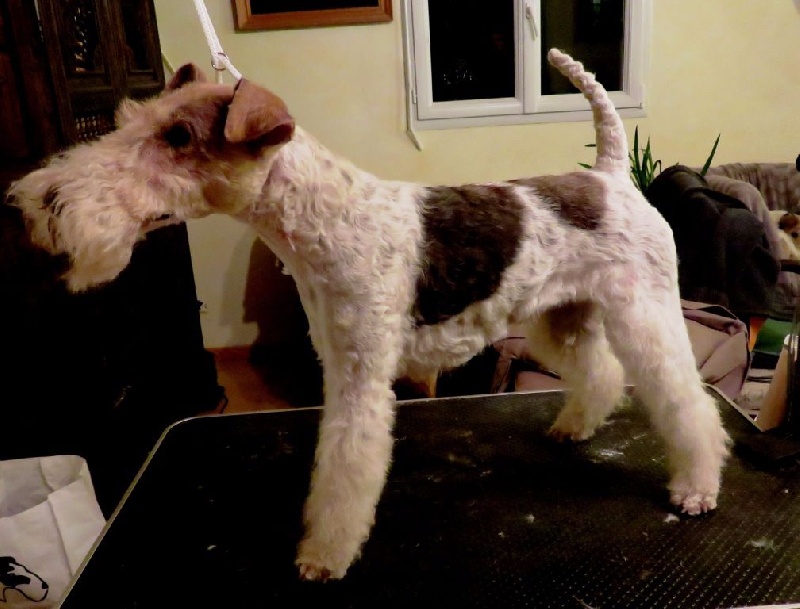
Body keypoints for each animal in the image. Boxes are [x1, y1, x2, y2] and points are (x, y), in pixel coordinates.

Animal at [7, 49, 730, 581]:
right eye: (133, 116)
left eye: (179, 134)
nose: (39, 203)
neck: (321, 220)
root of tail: (610, 175)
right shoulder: (338, 361)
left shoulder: (360, 375)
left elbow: (344, 470)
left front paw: (321, 558)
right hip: (566, 314)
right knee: (601, 373)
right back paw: (574, 427)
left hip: (645, 311)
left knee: (687, 401)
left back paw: (695, 488)